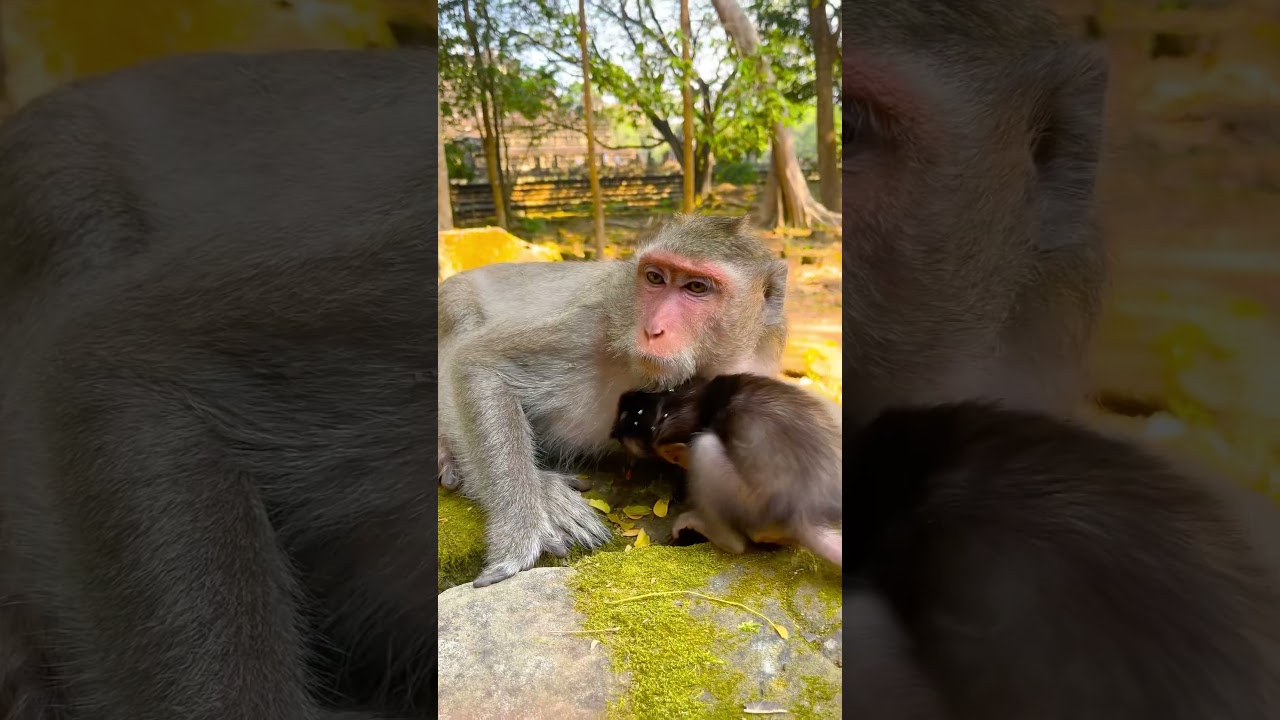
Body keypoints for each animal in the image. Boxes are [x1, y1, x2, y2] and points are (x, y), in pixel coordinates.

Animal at [438, 213, 791, 587]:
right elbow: (479, 364)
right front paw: (518, 536)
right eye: (655, 278)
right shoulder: (593, 327)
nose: (652, 329)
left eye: (697, 288)